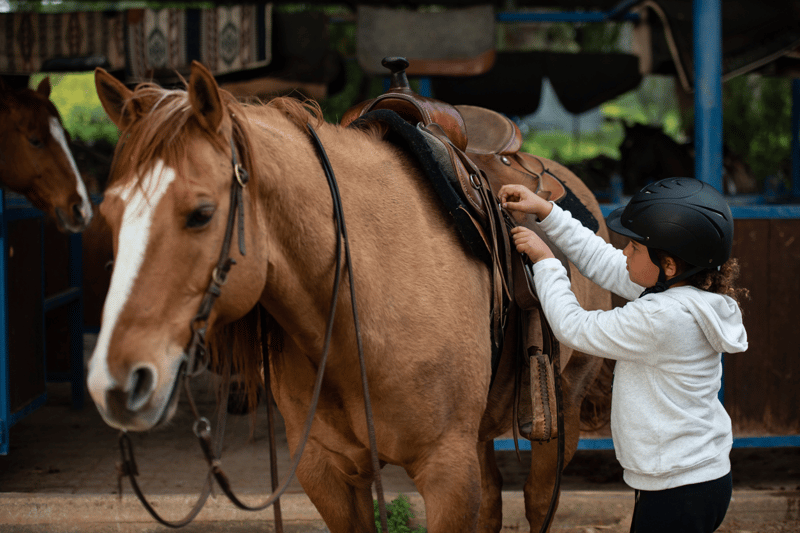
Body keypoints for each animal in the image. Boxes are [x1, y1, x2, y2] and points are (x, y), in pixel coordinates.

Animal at [87, 62, 608, 532]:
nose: (114, 383)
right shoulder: (326, 470)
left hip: (559, 409)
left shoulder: (448, 473)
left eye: (201, 213)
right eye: (108, 213)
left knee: (538, 501)